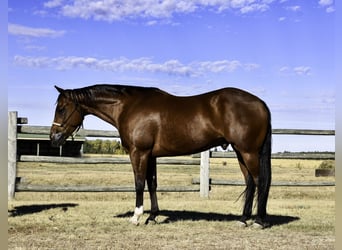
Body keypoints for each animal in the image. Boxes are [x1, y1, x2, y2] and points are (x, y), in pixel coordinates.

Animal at [49, 83, 272, 227]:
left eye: (62, 108)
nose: (54, 137)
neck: (129, 106)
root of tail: (261, 103)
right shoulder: (151, 155)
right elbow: (152, 183)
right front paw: (153, 217)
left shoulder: (139, 152)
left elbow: (139, 183)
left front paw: (137, 216)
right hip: (240, 152)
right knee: (250, 183)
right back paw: (243, 220)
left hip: (248, 152)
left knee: (259, 181)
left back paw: (258, 221)